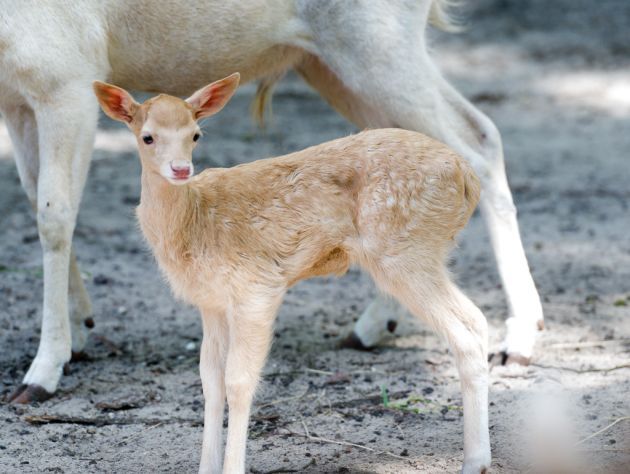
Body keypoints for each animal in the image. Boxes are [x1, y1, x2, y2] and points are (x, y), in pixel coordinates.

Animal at [0, 0, 544, 404]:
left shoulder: (65, 75)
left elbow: (54, 213)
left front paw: (41, 373)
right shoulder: (15, 93)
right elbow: (34, 196)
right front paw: (81, 333)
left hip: (379, 43)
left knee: (479, 138)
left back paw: (518, 341)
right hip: (329, 64)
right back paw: (372, 325)